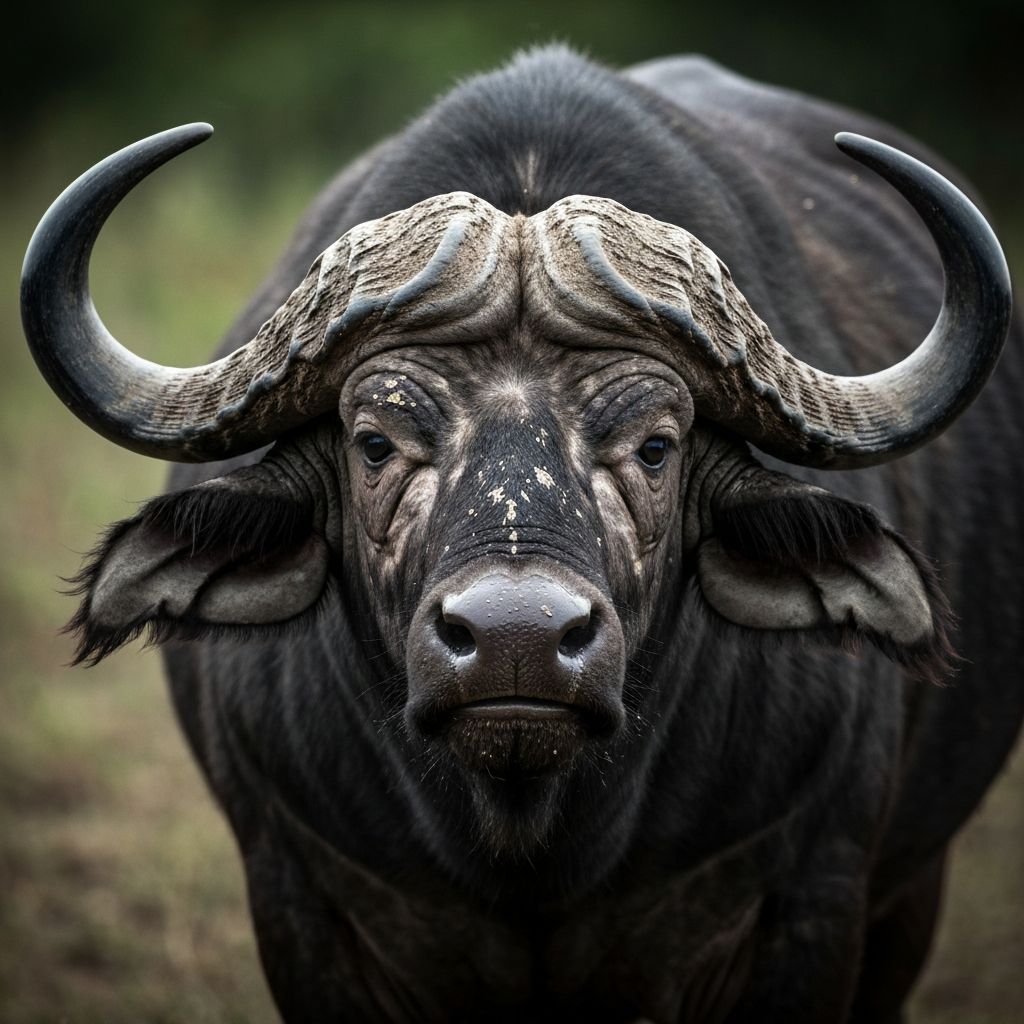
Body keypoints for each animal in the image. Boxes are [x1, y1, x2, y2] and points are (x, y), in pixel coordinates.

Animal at [22, 46, 1022, 1023]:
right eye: (375, 442)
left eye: (656, 445)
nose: (517, 641)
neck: (528, 836)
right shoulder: (299, 892)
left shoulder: (817, 893)